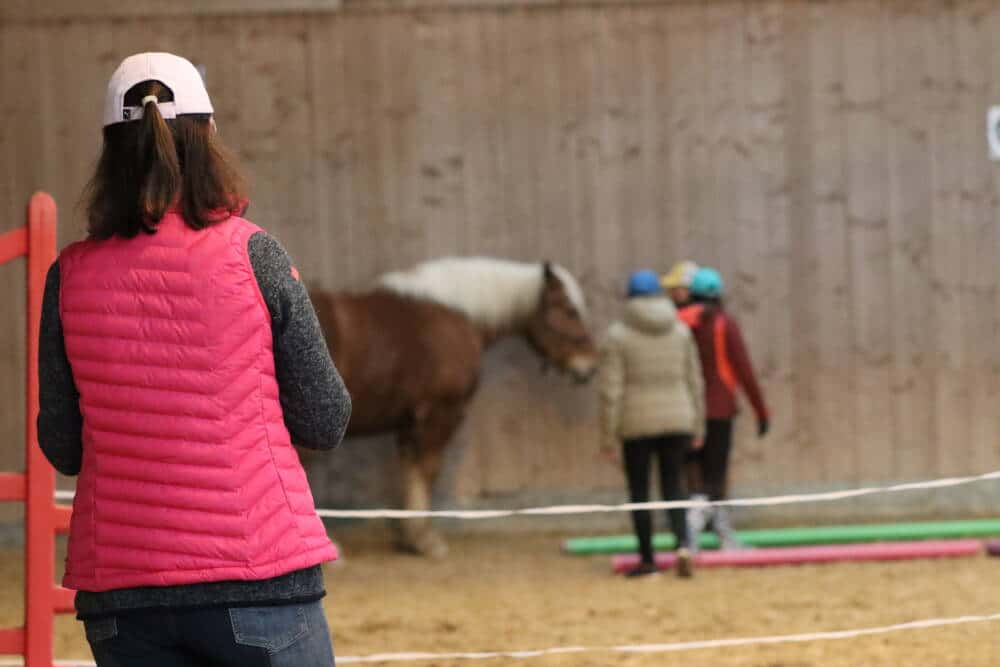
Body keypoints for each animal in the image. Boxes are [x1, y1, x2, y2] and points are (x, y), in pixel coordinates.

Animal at [310, 258, 592, 556]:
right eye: (570, 310)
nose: (588, 366)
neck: (457, 315)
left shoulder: (411, 420)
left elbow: (411, 470)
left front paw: (409, 537)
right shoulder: (443, 412)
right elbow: (428, 470)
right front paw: (425, 539)